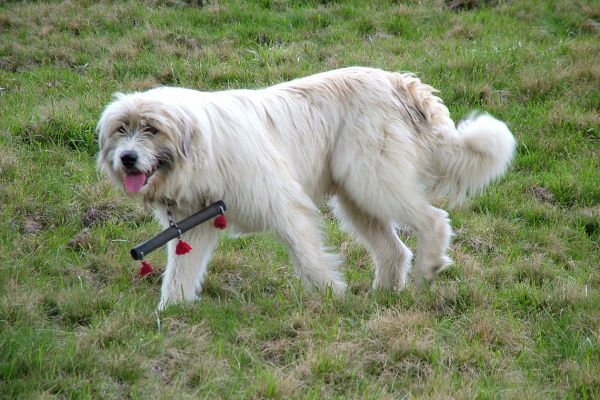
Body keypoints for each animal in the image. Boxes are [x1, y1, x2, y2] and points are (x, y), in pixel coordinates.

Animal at [97, 67, 516, 310]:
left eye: (151, 128)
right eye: (121, 129)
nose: (128, 159)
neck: (202, 147)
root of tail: (402, 83)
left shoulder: (284, 205)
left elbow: (309, 258)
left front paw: (334, 297)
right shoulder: (195, 225)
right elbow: (180, 273)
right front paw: (172, 314)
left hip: (374, 182)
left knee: (433, 219)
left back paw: (427, 266)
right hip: (357, 198)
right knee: (394, 250)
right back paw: (383, 295)